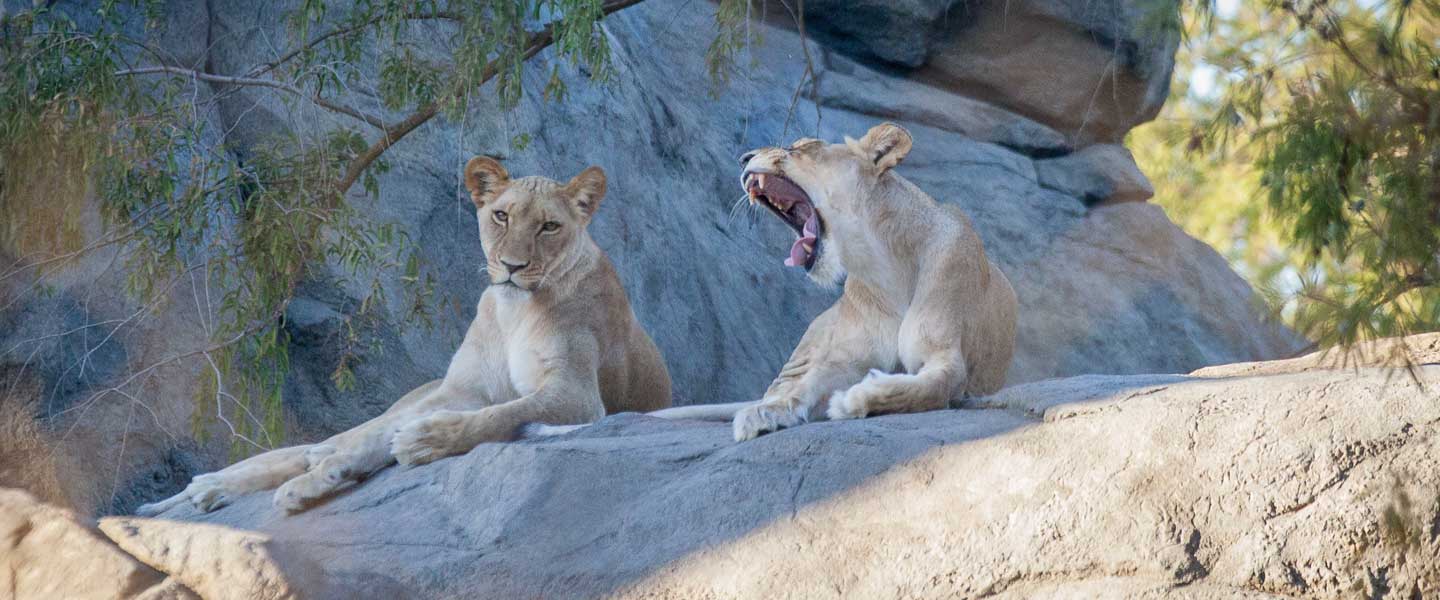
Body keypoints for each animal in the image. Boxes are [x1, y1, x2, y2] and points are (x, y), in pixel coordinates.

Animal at [137, 155, 671, 515]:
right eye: (501, 215)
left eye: (549, 227)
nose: (512, 266)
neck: (513, 310)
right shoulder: (463, 389)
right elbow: (380, 438)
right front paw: (324, 478)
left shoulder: (578, 396)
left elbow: (505, 413)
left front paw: (426, 440)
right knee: (320, 444)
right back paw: (205, 489)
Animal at [648, 123, 1019, 440]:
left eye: (797, 148)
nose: (743, 157)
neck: (884, 268)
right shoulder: (843, 359)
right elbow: (807, 385)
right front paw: (767, 413)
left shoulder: (948, 358)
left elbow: (925, 387)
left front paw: (855, 399)